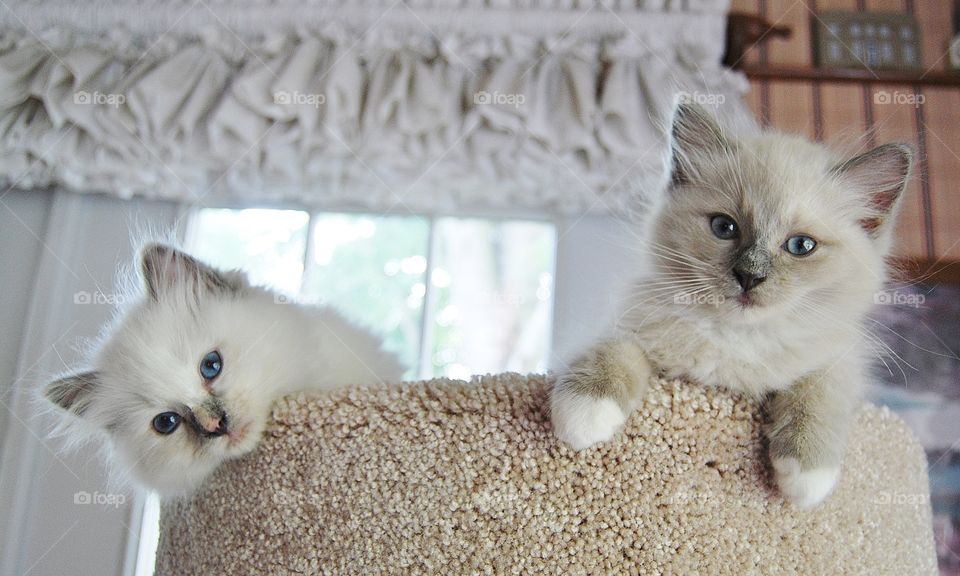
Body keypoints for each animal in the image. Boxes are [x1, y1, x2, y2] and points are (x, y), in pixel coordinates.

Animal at [552, 102, 912, 508]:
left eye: (801, 246)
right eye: (725, 228)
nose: (749, 276)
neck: (736, 340)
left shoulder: (838, 359)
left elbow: (820, 390)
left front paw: (806, 475)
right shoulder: (632, 328)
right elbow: (613, 352)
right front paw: (584, 414)